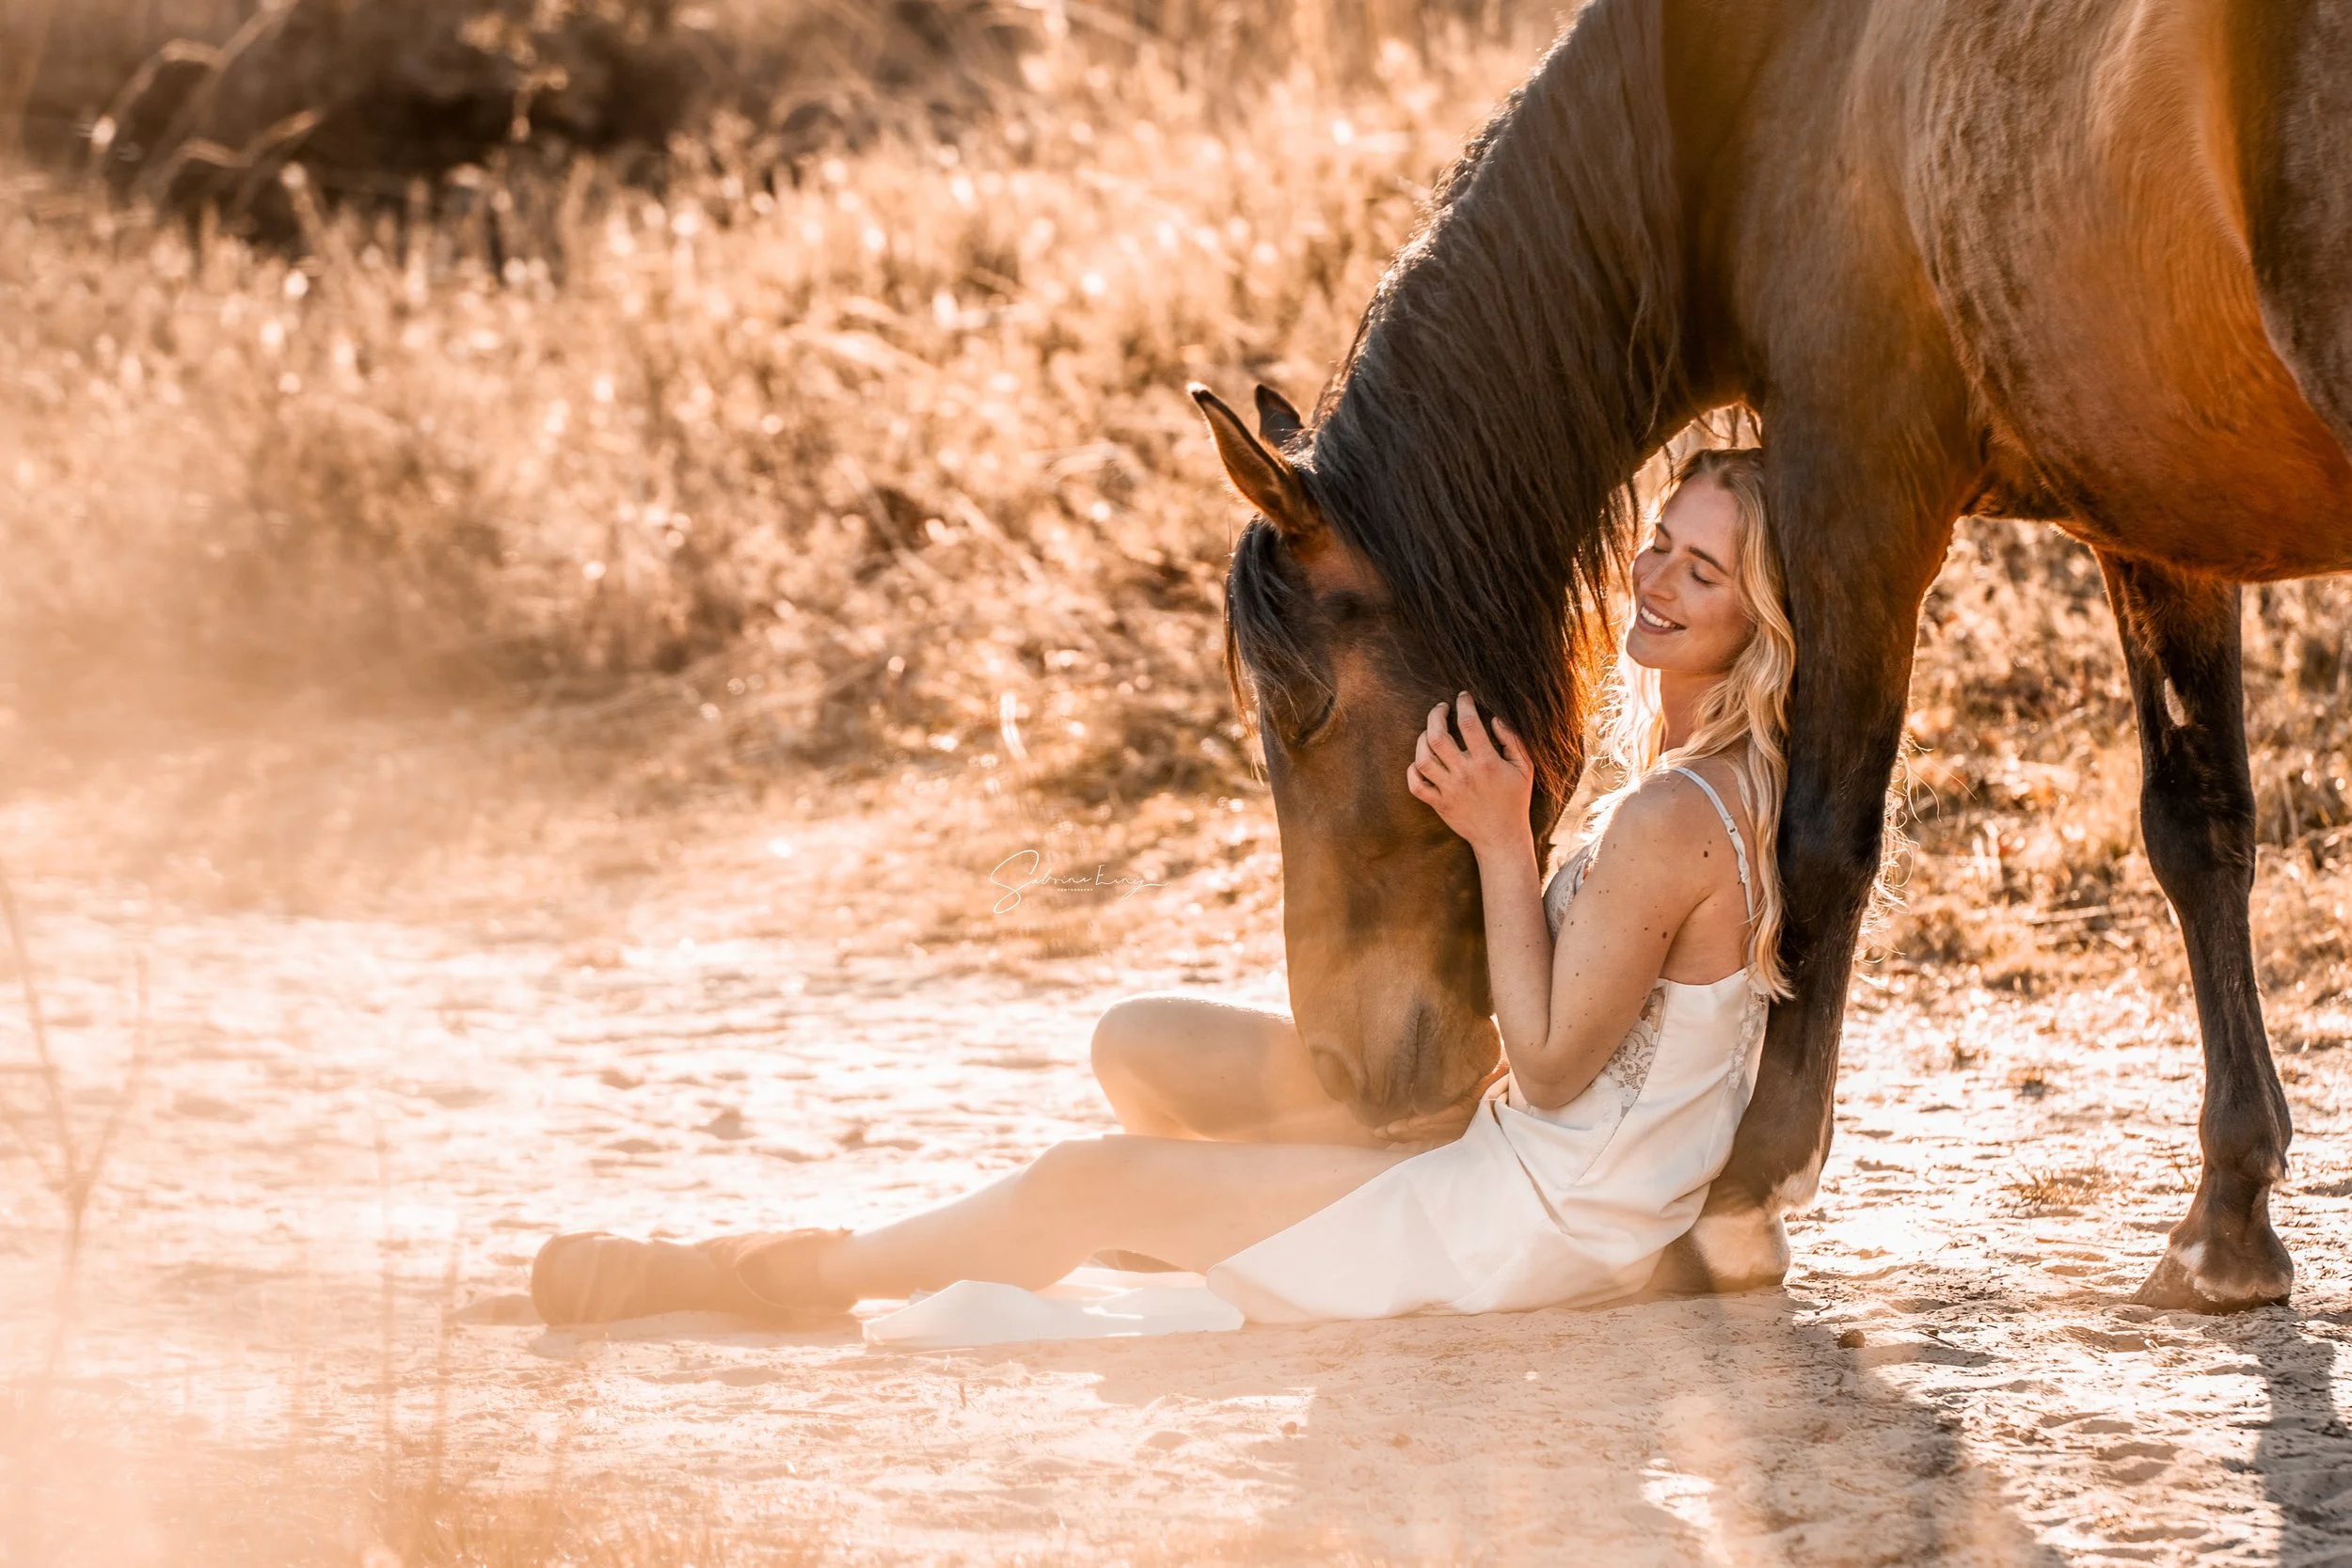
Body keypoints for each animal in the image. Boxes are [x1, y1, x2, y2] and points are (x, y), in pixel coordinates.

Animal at [1190, 0, 2352, 1314]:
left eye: (1301, 707)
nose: (1341, 1068)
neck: (1761, 89)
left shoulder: (1851, 490)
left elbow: (1820, 840)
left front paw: (1746, 1189)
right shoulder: (2157, 523)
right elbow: (2198, 829)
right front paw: (2228, 1216)